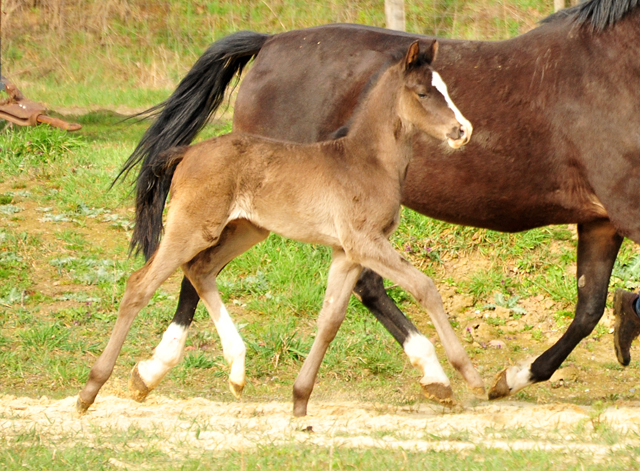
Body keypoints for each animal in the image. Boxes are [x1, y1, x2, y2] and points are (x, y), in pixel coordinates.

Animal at [76, 40, 476, 416]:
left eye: (445, 88)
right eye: (423, 93)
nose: (462, 130)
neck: (366, 161)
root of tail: (187, 152)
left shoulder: (346, 251)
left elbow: (330, 319)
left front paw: (300, 400)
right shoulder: (365, 242)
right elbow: (425, 287)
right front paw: (469, 373)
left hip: (246, 229)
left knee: (200, 269)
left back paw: (236, 371)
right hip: (192, 227)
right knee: (139, 285)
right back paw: (91, 390)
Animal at [119, 0, 640, 404]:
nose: (462, 130)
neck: (615, 66)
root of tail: (269, 43)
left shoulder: (602, 221)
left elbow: (589, 308)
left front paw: (514, 377)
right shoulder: (626, 211)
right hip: (244, 211)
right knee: (197, 268)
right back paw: (157, 371)